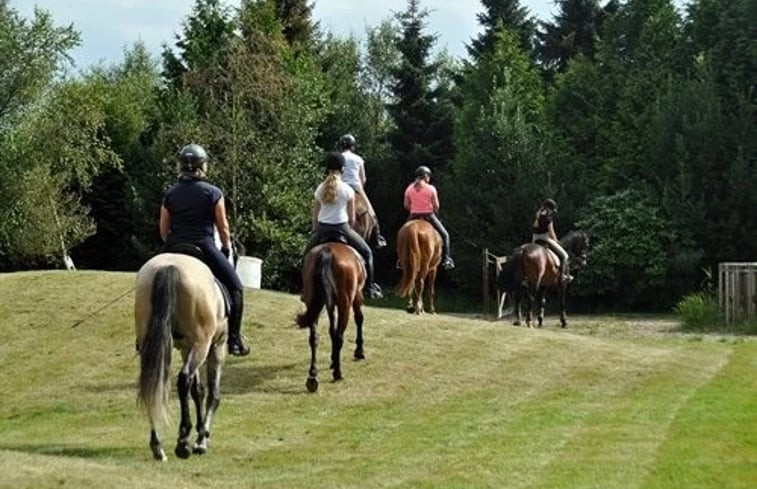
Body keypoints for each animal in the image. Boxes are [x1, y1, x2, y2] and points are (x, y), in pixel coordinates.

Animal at [133, 254, 227, 460]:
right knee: (183, 379)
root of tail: (169, 265)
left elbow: (197, 390)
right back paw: (183, 441)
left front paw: (200, 433)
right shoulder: (217, 347)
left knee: (153, 384)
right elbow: (213, 395)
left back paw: (157, 446)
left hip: (154, 344)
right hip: (202, 344)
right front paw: (201, 440)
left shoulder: (186, 348)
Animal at [296, 241, 366, 392]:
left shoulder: (330, 304)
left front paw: (333, 360)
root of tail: (327, 250)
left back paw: (312, 377)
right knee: (340, 337)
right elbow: (359, 319)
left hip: (313, 302)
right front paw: (359, 352)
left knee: (314, 338)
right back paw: (337, 373)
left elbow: (331, 331)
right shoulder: (357, 295)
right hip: (345, 303)